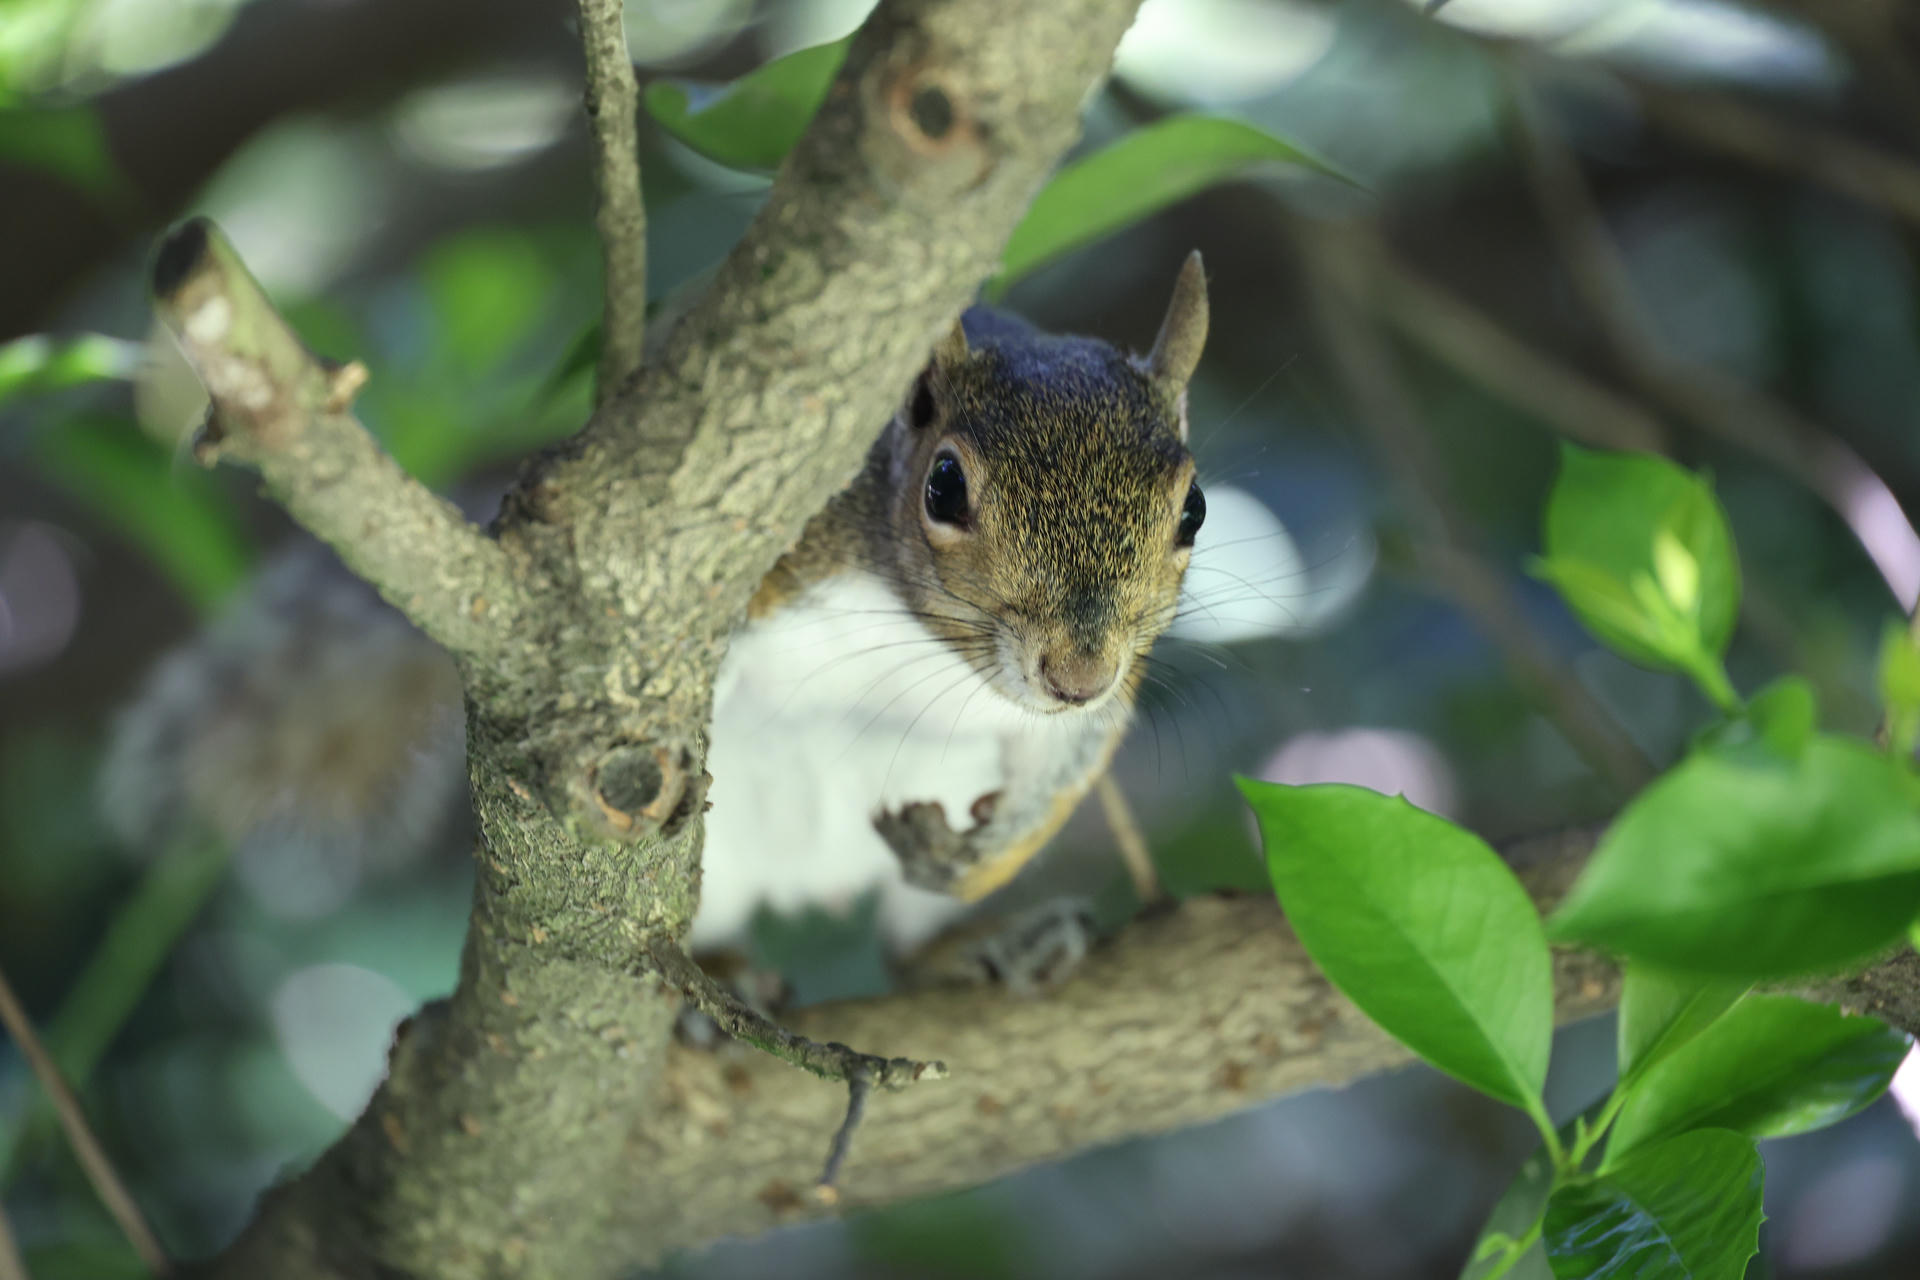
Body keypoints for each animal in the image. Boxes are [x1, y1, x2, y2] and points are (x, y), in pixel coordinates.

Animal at [101, 252, 1211, 983]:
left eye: (1192, 509)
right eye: (944, 486)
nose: (1076, 671)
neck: (926, 646)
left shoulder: (1089, 707)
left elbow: (1069, 762)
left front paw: (996, 852)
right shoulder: (768, 564)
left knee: (906, 939)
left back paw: (977, 942)